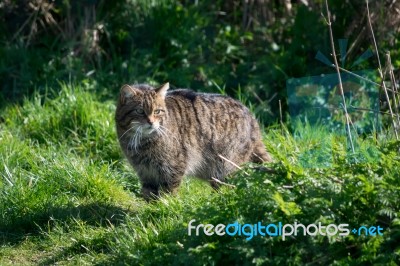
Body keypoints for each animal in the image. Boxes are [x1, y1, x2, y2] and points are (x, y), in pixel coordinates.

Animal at [115, 83, 272, 200]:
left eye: (157, 111)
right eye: (140, 111)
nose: (151, 122)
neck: (142, 142)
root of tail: (252, 119)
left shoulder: (173, 169)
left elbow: (169, 193)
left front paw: (166, 207)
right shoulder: (145, 173)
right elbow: (149, 195)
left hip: (225, 167)